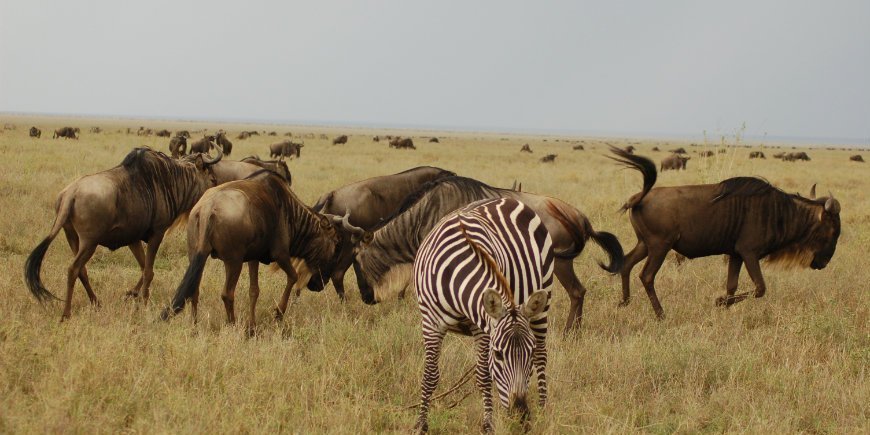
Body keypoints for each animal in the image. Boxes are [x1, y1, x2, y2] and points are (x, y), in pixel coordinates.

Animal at [412, 199, 556, 434]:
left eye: (529, 352)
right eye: (498, 355)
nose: (522, 417)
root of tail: (509, 200)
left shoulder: (482, 327)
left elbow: (483, 376)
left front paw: (488, 424)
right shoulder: (430, 322)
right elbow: (430, 375)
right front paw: (421, 424)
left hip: (543, 297)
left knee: (542, 356)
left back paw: (544, 409)